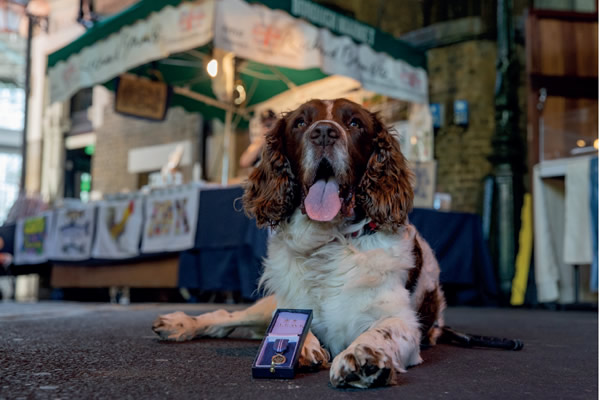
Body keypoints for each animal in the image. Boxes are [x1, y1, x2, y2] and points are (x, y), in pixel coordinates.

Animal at [154, 98, 446, 390]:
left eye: (355, 123)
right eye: (301, 123)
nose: (324, 133)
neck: (330, 241)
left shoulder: (402, 320)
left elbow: (382, 331)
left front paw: (364, 355)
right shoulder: (288, 304)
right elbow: (295, 323)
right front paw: (304, 346)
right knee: (225, 316)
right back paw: (180, 323)